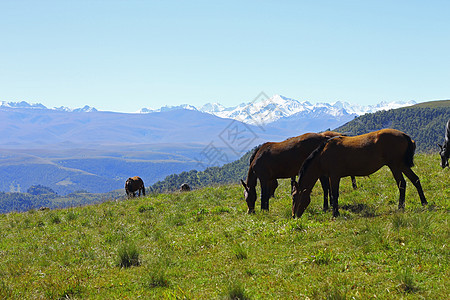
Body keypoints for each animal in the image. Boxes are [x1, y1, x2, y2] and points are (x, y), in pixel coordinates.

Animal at [290, 128, 428, 218]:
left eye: (295, 197)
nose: (293, 216)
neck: (322, 155)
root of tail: (404, 135)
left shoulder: (334, 176)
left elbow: (334, 194)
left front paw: (335, 213)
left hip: (395, 165)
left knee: (402, 183)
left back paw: (401, 206)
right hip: (401, 165)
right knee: (415, 180)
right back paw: (423, 202)